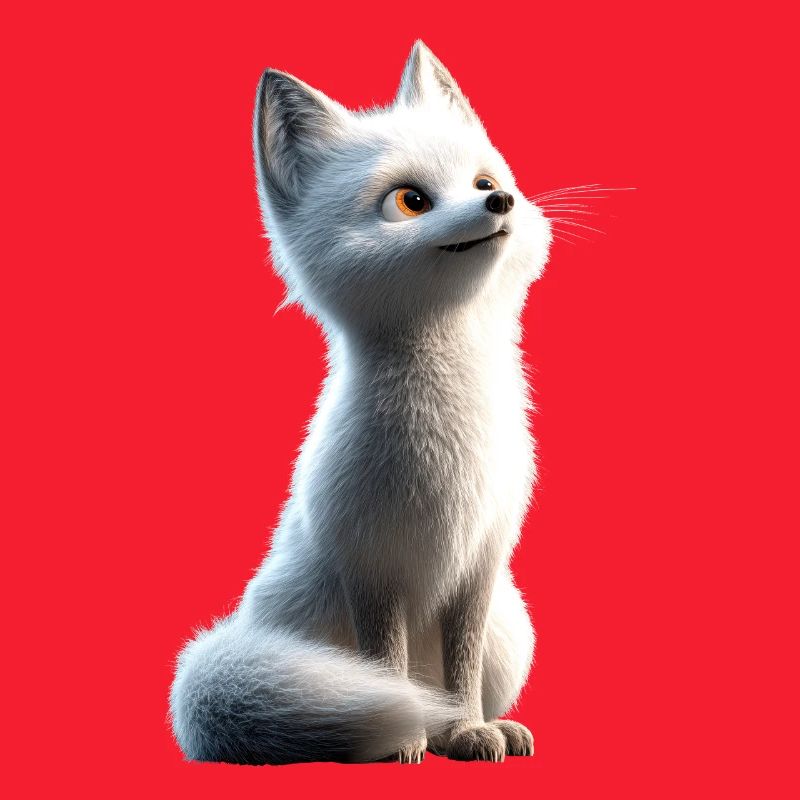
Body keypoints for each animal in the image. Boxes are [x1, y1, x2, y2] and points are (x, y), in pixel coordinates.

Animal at [169, 40, 551, 765]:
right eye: (411, 200)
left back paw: (487, 725)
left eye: (483, 181)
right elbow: (385, 664)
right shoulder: (372, 564)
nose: (503, 200)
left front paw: (468, 729)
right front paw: (409, 739)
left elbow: (460, 670)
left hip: (510, 629)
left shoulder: (482, 562)